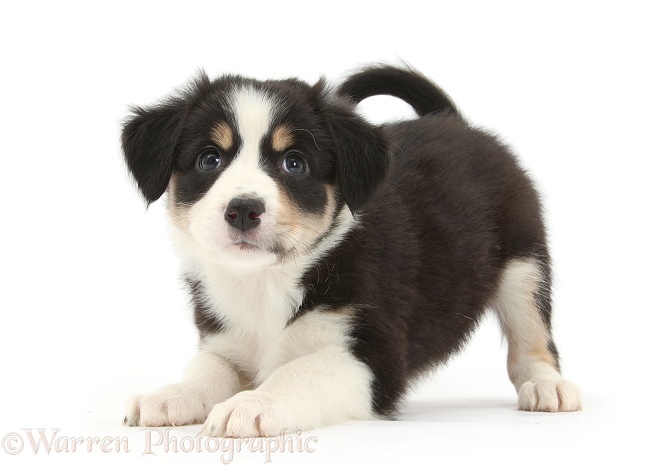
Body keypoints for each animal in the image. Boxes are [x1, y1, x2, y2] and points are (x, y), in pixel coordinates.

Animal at [120, 64, 580, 436]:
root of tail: (454, 121)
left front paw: (254, 403)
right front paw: (171, 395)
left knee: (532, 336)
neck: (267, 282)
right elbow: (206, 368)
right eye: (209, 159)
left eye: (294, 163)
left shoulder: (373, 360)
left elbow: (298, 370)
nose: (244, 209)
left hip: (525, 263)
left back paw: (548, 387)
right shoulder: (226, 343)